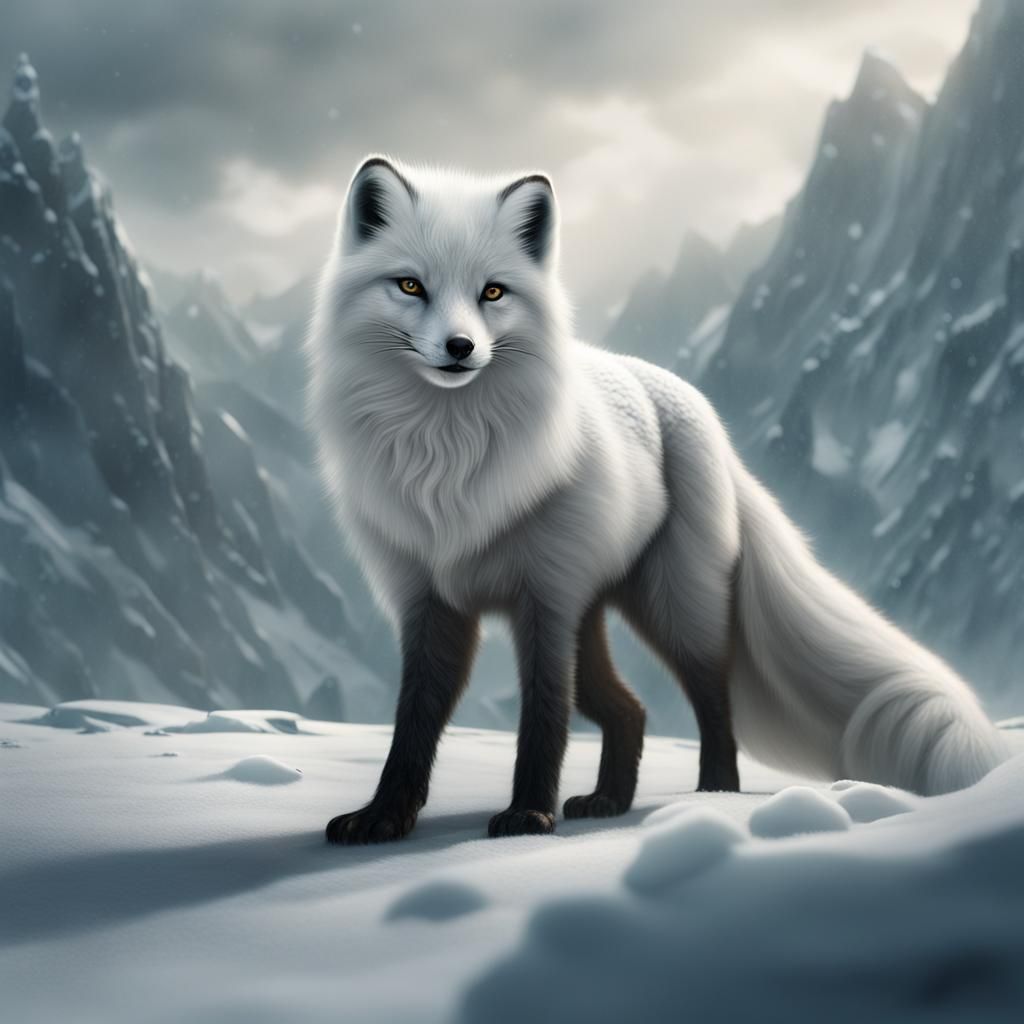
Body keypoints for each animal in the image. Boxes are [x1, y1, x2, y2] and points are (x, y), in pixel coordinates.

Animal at [307, 155, 1008, 843]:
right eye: (410, 287)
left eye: (493, 292)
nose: (460, 348)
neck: (445, 458)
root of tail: (693, 404)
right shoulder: (429, 603)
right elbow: (412, 723)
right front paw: (385, 817)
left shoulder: (544, 602)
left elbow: (543, 718)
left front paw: (529, 816)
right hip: (595, 615)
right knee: (632, 709)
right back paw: (609, 800)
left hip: (673, 607)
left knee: (712, 702)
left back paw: (714, 797)